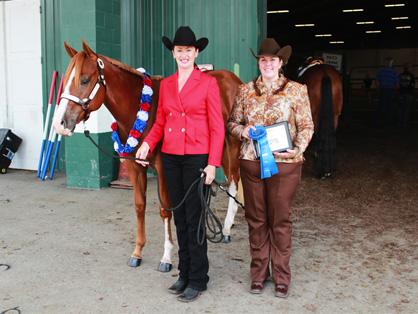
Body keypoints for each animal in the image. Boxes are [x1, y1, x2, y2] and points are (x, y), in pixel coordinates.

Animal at [52, 41, 243, 272]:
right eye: (65, 80)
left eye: (84, 79)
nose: (60, 124)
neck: (140, 108)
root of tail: (234, 79)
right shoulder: (135, 167)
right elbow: (139, 206)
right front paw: (137, 252)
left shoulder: (163, 168)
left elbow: (165, 209)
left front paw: (166, 257)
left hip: (232, 145)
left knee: (233, 181)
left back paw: (226, 229)